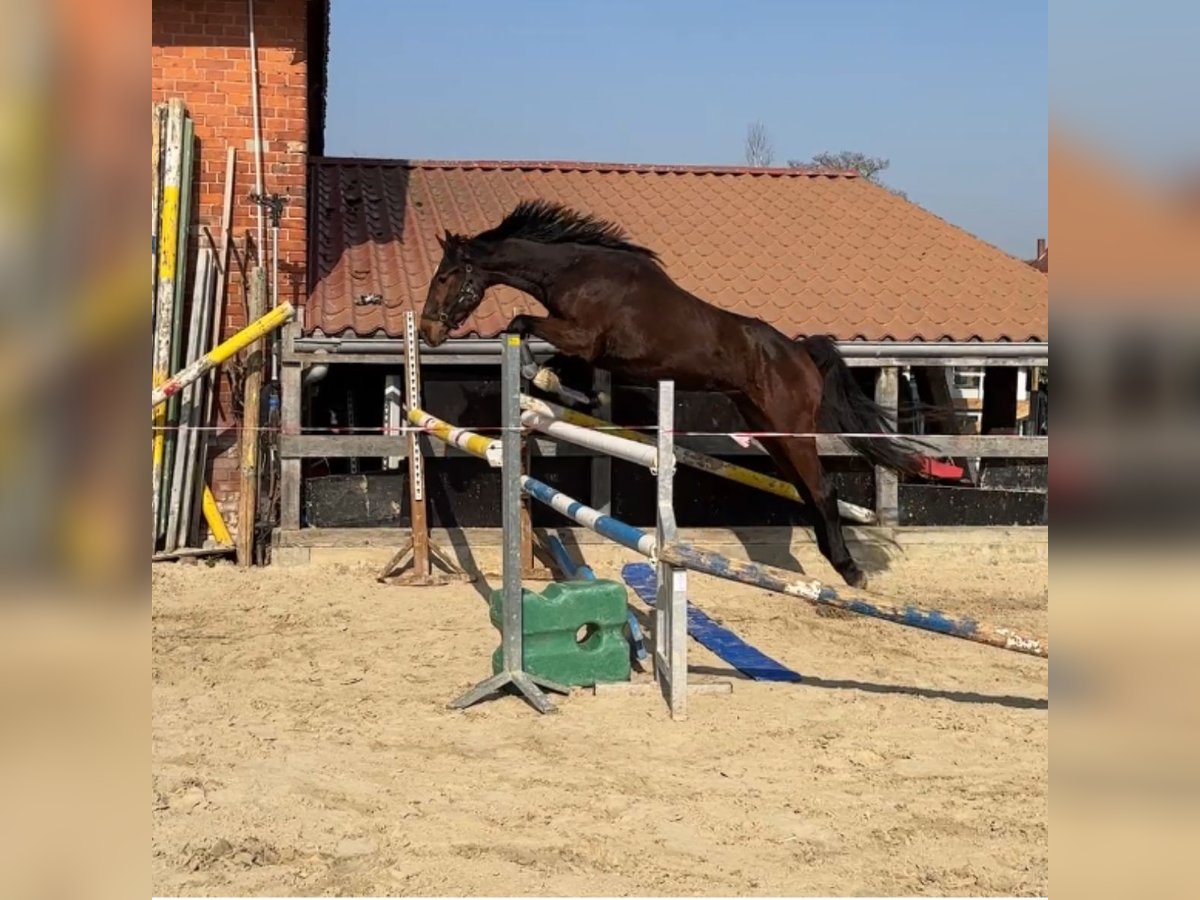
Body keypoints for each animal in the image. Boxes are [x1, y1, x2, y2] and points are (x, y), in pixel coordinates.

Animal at [418, 199, 929, 588]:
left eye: (444, 277)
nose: (427, 332)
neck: (577, 271)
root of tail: (801, 353)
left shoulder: (584, 337)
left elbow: (521, 323)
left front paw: (540, 378)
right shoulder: (587, 348)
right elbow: (546, 351)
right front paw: (558, 387)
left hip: (791, 429)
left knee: (823, 489)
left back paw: (850, 571)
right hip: (770, 431)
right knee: (810, 490)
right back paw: (829, 560)